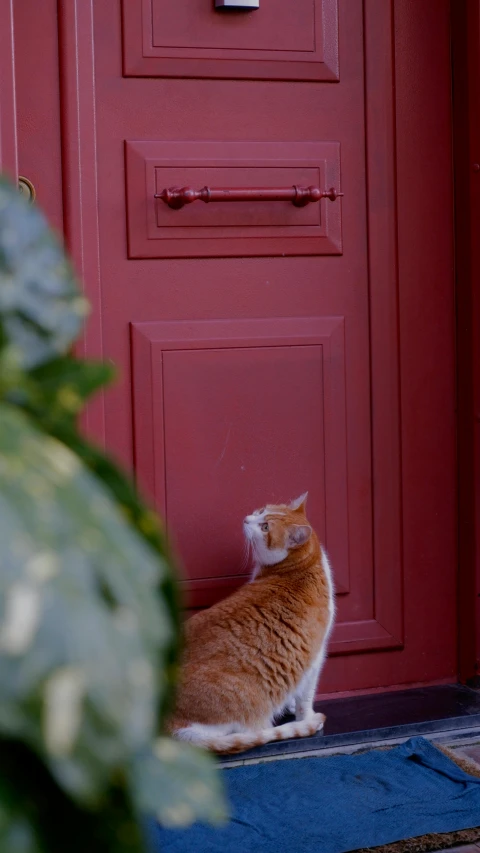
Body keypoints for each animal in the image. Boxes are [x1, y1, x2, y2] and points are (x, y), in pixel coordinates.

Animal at [168, 492, 334, 752]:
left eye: (265, 527)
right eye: (261, 511)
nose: (246, 519)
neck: (303, 565)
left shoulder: (313, 660)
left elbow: (302, 696)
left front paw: (294, 708)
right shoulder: (314, 658)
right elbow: (305, 700)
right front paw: (304, 717)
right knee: (249, 732)